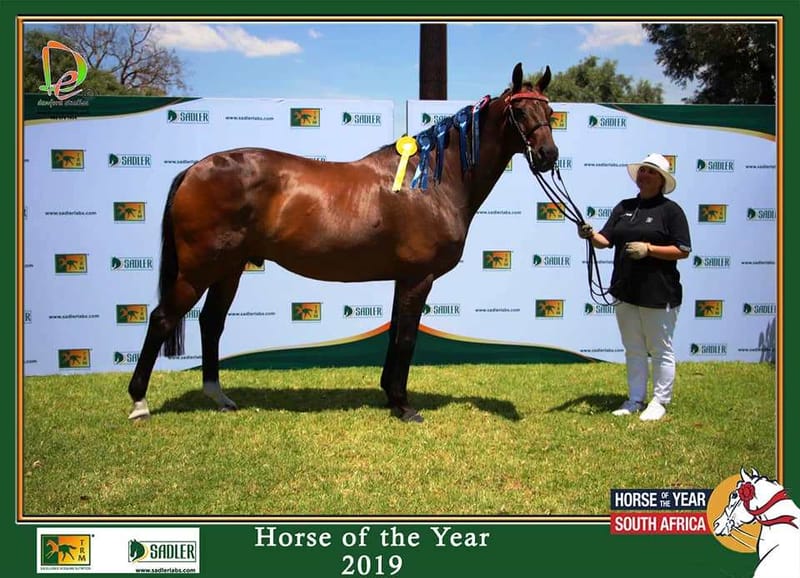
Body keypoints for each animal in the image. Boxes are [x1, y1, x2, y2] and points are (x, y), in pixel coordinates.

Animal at [128, 63, 560, 420]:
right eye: (519, 112)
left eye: (551, 113)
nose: (548, 155)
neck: (432, 182)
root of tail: (193, 170)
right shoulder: (418, 278)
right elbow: (406, 339)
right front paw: (404, 407)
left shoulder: (402, 279)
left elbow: (395, 335)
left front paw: (390, 396)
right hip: (199, 269)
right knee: (163, 318)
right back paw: (139, 403)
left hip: (229, 269)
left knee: (211, 323)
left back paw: (219, 398)